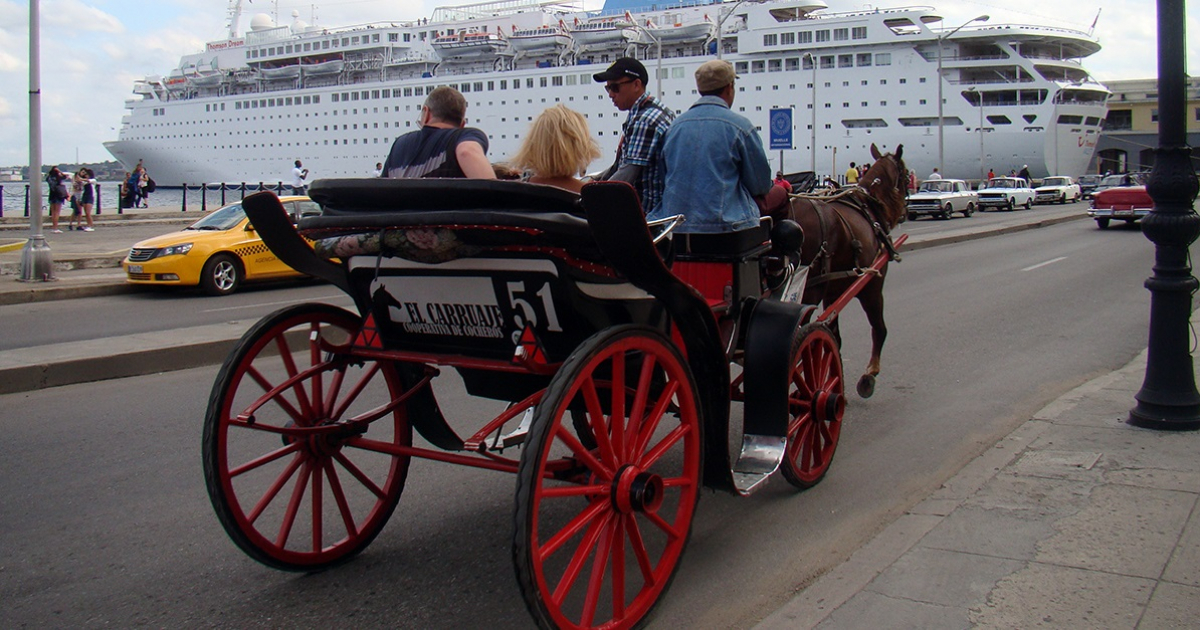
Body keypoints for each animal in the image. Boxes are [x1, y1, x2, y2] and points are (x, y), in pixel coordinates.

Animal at [782, 144, 902, 396]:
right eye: (906, 175)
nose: (904, 212)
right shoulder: (872, 286)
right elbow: (879, 328)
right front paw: (869, 374)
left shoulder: (832, 293)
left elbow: (834, 336)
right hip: (812, 290)